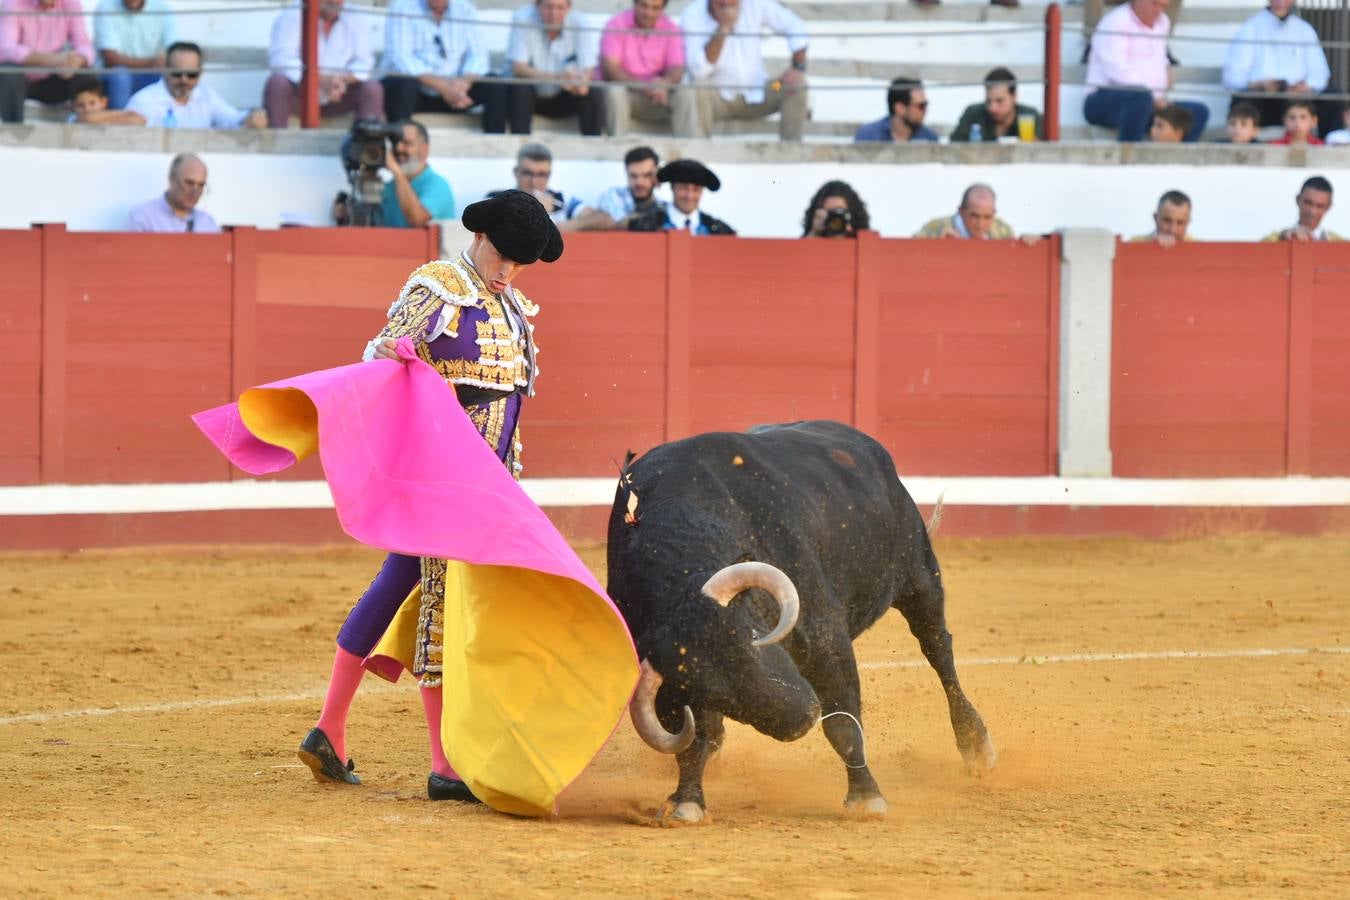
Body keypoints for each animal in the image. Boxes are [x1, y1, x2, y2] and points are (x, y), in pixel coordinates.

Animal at [607, 420, 999, 825]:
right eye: (716, 695)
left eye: (752, 639)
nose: (800, 718)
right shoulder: (671, 693)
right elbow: (694, 740)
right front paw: (687, 800)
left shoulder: (826, 641)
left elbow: (844, 724)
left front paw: (866, 798)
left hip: (919, 576)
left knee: (938, 650)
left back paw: (976, 746)